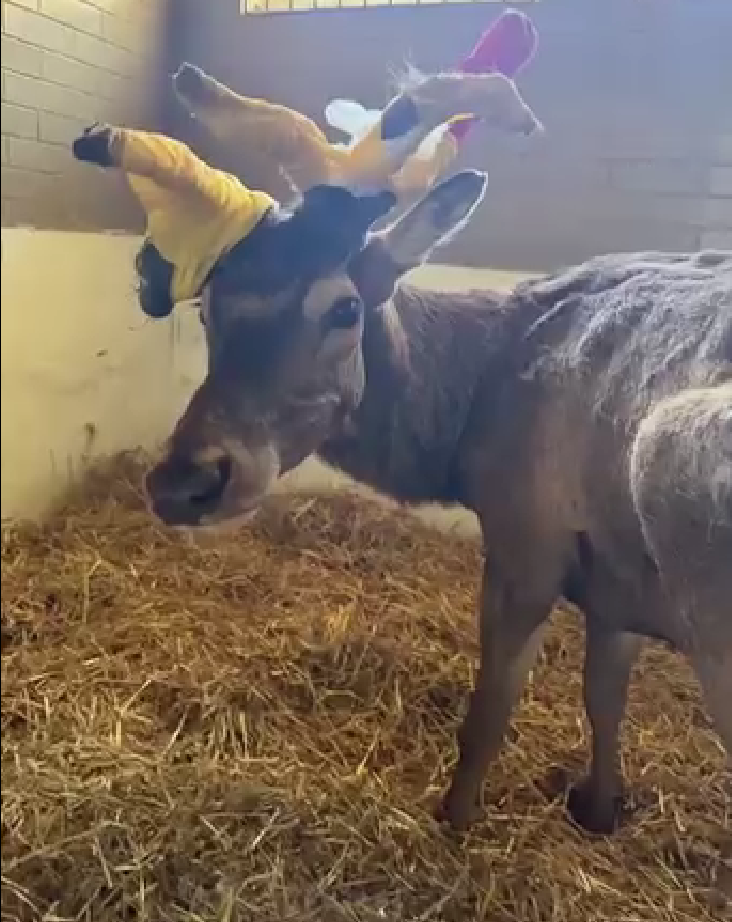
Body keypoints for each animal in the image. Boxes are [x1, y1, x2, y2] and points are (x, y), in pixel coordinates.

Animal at [132, 166, 730, 836]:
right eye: (208, 309)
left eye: (345, 306)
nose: (184, 481)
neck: (462, 429)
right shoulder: (613, 581)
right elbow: (604, 696)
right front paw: (600, 808)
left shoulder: (526, 542)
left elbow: (490, 709)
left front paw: (456, 817)